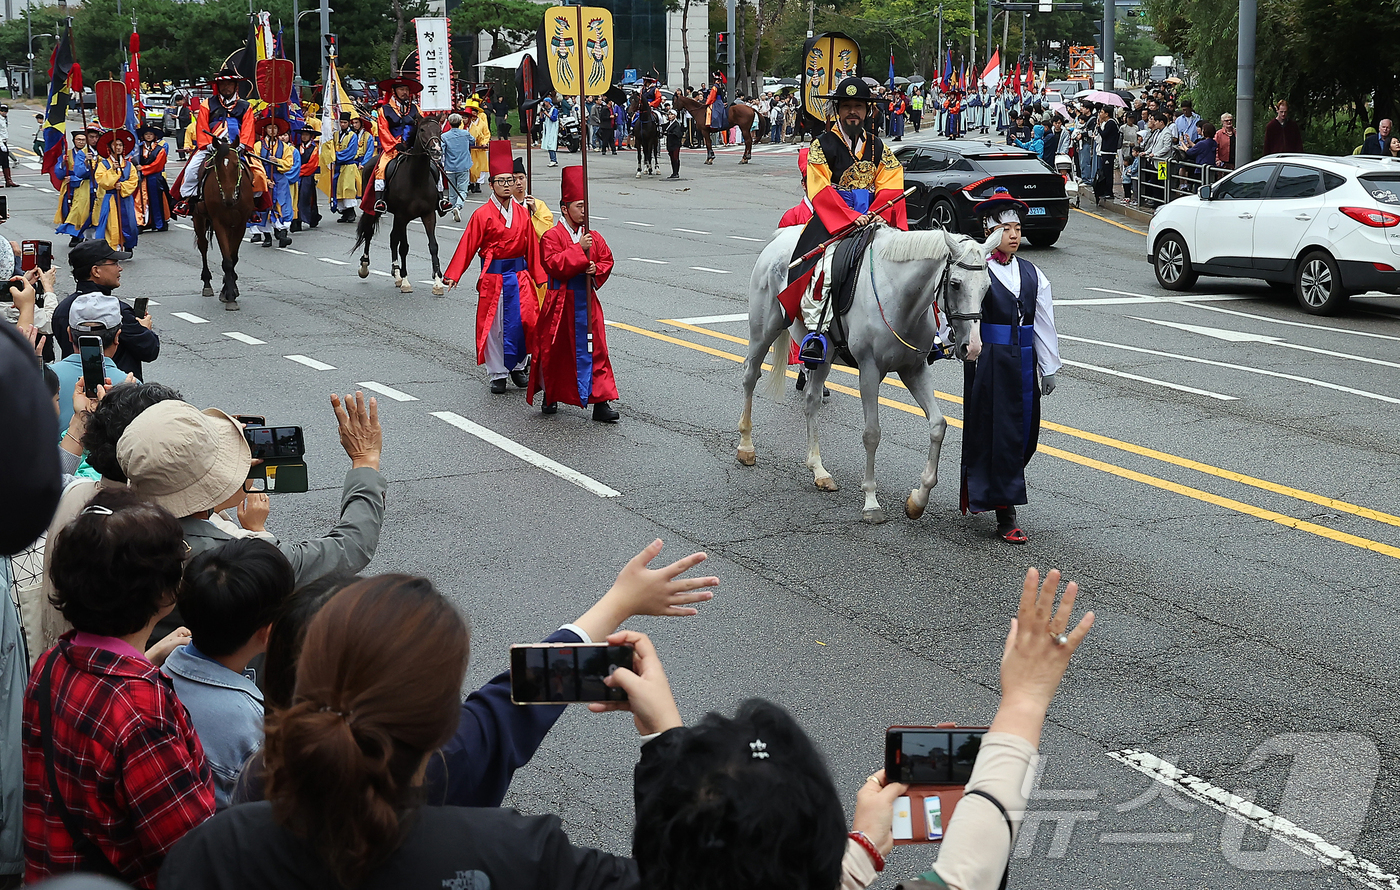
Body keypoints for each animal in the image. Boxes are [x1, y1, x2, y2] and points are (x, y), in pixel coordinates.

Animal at [191, 132, 257, 309]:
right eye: (218, 166)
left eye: (236, 165)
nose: (228, 199)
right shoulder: (218, 222)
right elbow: (227, 261)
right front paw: (230, 296)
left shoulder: (240, 224)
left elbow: (233, 258)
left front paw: (230, 290)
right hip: (199, 218)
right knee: (203, 246)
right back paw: (207, 283)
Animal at [350, 114, 442, 295]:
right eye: (422, 129)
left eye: (439, 130)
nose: (436, 150)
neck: (417, 179)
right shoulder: (403, 216)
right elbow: (404, 247)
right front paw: (406, 282)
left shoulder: (428, 215)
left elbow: (433, 246)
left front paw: (437, 282)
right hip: (374, 209)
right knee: (369, 233)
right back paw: (365, 267)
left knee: (393, 238)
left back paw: (397, 273)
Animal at [739, 225, 1002, 526]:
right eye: (956, 283)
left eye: (987, 287)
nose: (973, 347)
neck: (900, 296)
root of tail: (779, 236)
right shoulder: (869, 371)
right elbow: (872, 434)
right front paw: (871, 501)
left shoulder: (914, 369)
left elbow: (938, 425)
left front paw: (918, 500)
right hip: (764, 331)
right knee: (750, 377)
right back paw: (746, 447)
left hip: (824, 356)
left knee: (811, 401)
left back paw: (819, 471)